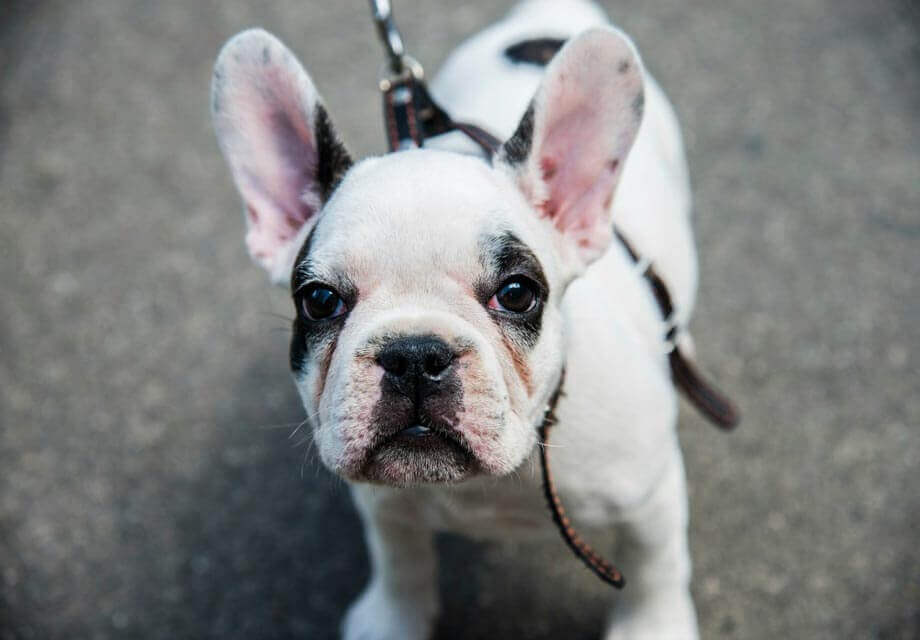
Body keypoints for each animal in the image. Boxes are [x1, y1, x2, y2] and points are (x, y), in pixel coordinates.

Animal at [214, 0, 704, 636]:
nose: (414, 354)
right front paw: (394, 618)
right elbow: (400, 558)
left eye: (517, 294)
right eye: (320, 301)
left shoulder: (650, 493)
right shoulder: (386, 504)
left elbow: (655, 564)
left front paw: (654, 625)